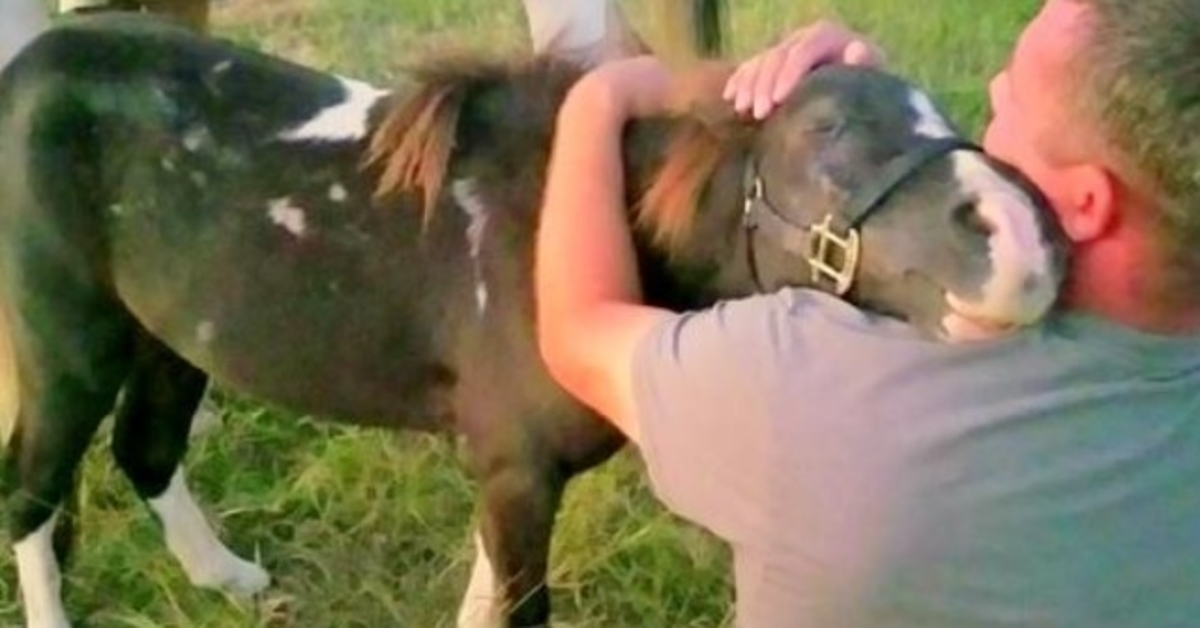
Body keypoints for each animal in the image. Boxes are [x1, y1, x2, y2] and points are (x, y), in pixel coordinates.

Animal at [0, 11, 1070, 628]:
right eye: (826, 133)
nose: (1025, 243)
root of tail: (30, 65)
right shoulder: (516, 467)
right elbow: (519, 609)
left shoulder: (504, 468)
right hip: (68, 341)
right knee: (33, 489)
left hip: (169, 335)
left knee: (144, 447)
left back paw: (224, 577)